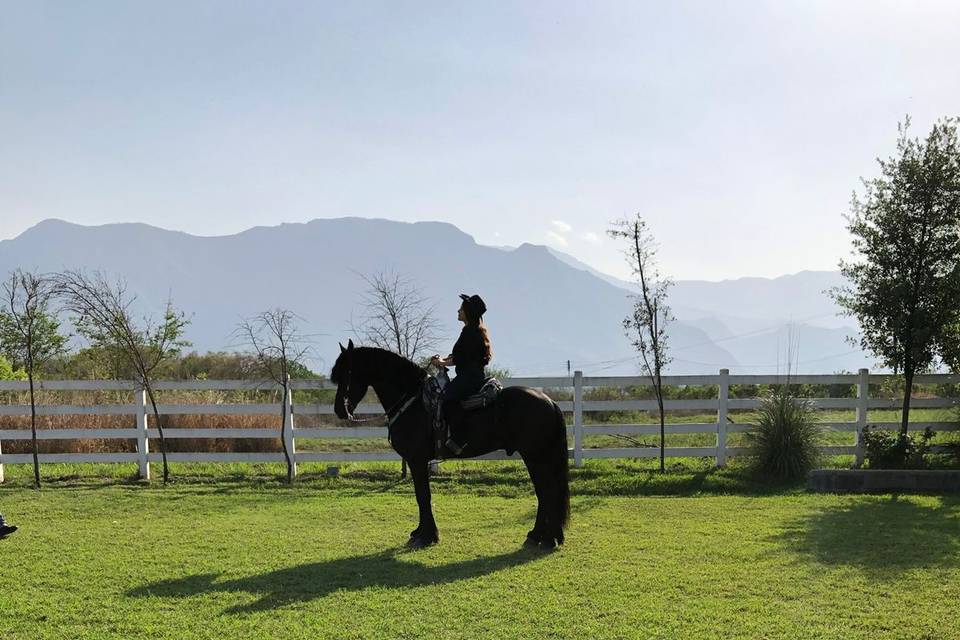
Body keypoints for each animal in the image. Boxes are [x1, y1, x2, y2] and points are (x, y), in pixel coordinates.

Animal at [330, 340, 568, 552]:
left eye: (348, 373)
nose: (339, 410)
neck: (414, 402)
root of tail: (549, 401)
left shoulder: (417, 460)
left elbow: (423, 496)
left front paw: (428, 536)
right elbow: (421, 496)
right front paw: (420, 532)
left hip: (535, 455)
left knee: (547, 492)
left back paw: (548, 539)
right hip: (537, 457)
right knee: (544, 493)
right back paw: (537, 536)